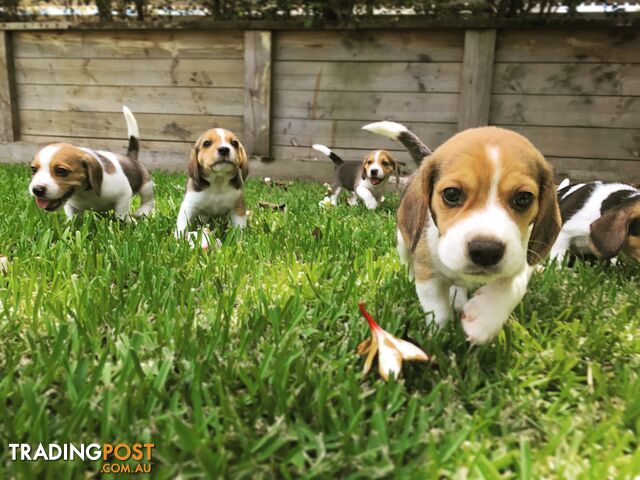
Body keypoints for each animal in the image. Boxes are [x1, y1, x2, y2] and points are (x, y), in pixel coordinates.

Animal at [27, 106, 155, 220]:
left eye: (61, 171)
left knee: (148, 200)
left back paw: (142, 211)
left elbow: (121, 215)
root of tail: (130, 157)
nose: (36, 190)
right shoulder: (71, 207)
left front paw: (127, 223)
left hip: (147, 185)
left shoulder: (123, 195)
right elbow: (74, 220)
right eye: (33, 169)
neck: (84, 191)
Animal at [364, 120, 560, 344]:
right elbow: (437, 309)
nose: (486, 251)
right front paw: (438, 338)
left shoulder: (523, 256)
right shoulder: (428, 275)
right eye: (451, 194)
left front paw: (484, 319)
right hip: (403, 242)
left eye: (523, 198)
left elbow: (513, 286)